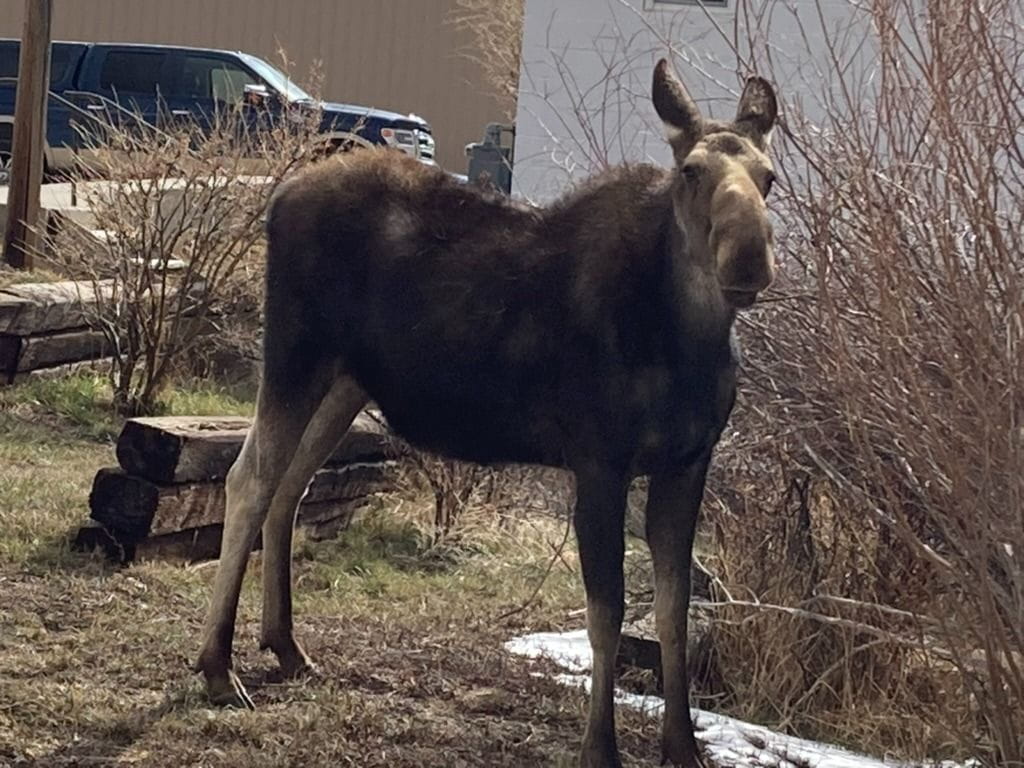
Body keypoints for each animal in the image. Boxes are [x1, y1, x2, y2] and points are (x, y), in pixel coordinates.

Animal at [194, 59, 778, 768]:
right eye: (691, 170)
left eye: (770, 177)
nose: (748, 257)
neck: (686, 344)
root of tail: (277, 200)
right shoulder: (599, 462)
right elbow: (606, 614)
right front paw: (600, 748)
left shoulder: (687, 464)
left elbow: (673, 612)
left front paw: (683, 747)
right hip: (294, 354)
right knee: (250, 479)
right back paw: (217, 664)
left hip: (345, 382)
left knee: (290, 488)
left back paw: (284, 645)